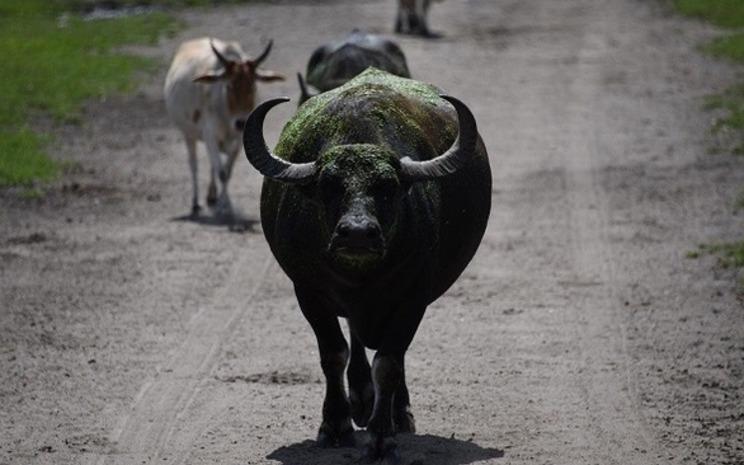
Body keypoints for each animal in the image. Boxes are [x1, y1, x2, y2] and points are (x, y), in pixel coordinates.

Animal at [241, 67, 492, 458]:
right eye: (328, 186)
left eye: (388, 187)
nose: (357, 234)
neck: (361, 275)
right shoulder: (309, 293)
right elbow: (334, 353)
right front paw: (335, 425)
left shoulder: (413, 297)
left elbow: (388, 363)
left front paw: (381, 435)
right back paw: (361, 399)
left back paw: (396, 412)